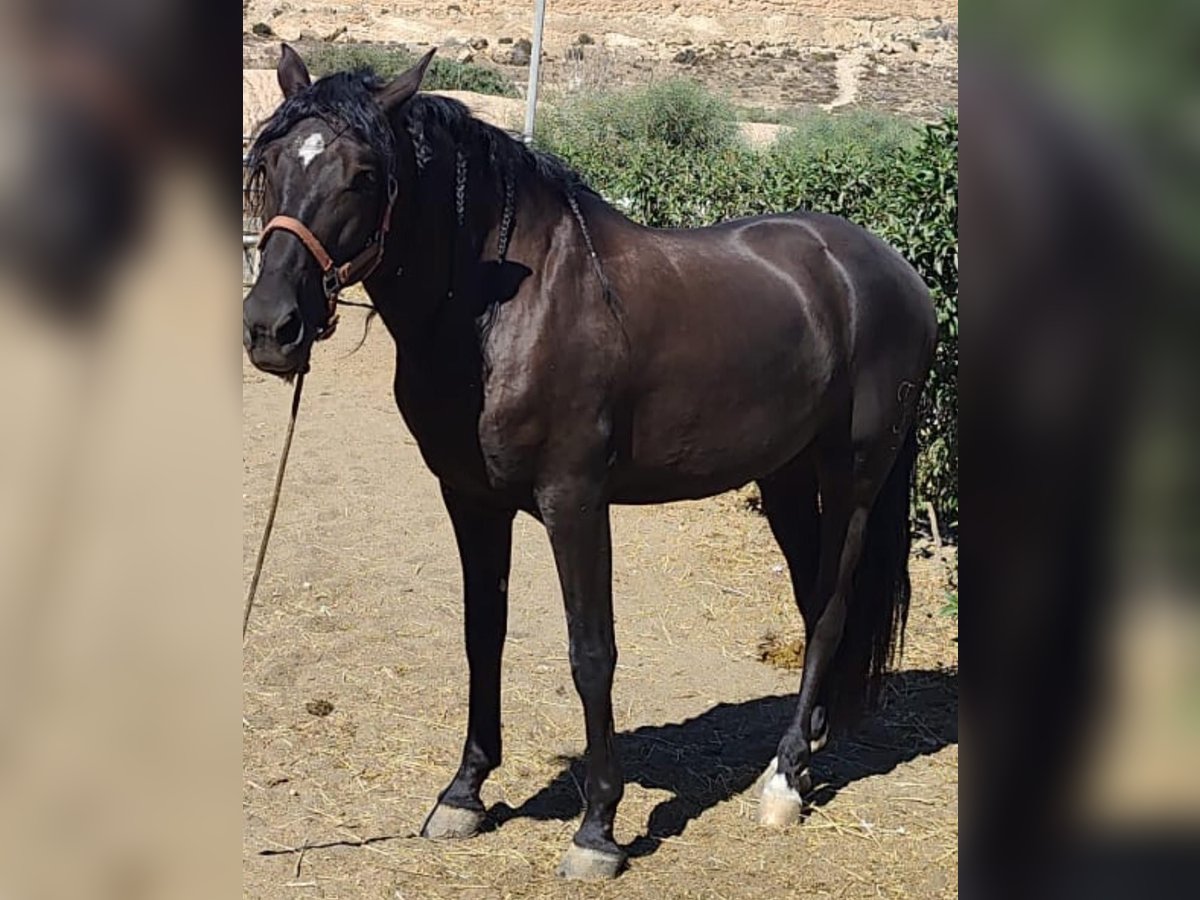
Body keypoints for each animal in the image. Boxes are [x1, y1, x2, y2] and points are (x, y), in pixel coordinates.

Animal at [243, 45, 936, 880]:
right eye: (268, 161)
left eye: (364, 175)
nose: (271, 328)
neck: (501, 312)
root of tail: (894, 269)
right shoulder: (469, 498)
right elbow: (482, 634)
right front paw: (464, 793)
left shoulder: (574, 501)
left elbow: (591, 652)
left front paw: (598, 827)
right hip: (785, 478)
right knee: (811, 602)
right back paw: (802, 754)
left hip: (854, 480)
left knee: (831, 611)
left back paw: (783, 785)